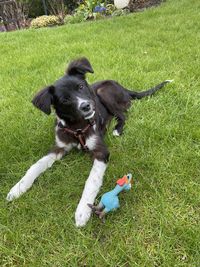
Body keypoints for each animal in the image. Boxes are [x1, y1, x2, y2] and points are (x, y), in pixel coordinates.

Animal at [6, 57, 172, 227]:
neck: (77, 128)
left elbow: (92, 180)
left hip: (102, 91)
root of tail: (122, 86)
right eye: (65, 99)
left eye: (80, 87)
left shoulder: (101, 151)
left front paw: (82, 211)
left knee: (123, 114)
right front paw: (18, 188)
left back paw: (117, 129)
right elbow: (36, 165)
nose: (86, 106)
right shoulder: (58, 147)